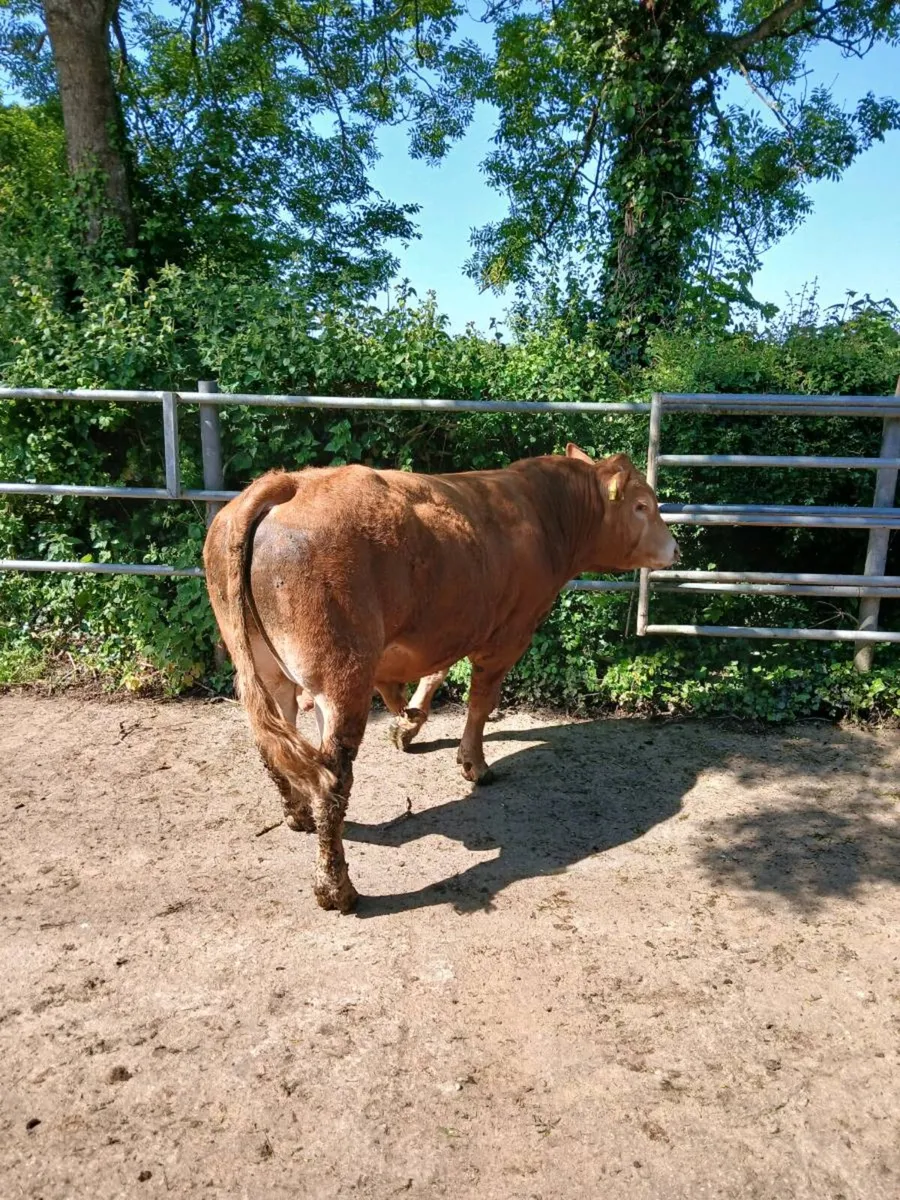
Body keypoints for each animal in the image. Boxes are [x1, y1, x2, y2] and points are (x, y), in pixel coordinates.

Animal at [203, 444, 679, 913]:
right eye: (642, 505)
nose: (675, 548)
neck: (545, 512)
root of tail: (292, 482)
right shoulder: (509, 634)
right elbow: (481, 701)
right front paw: (474, 764)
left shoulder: (451, 625)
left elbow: (437, 672)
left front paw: (407, 724)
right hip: (340, 676)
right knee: (330, 778)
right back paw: (336, 889)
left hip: (267, 669)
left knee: (276, 750)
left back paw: (297, 816)